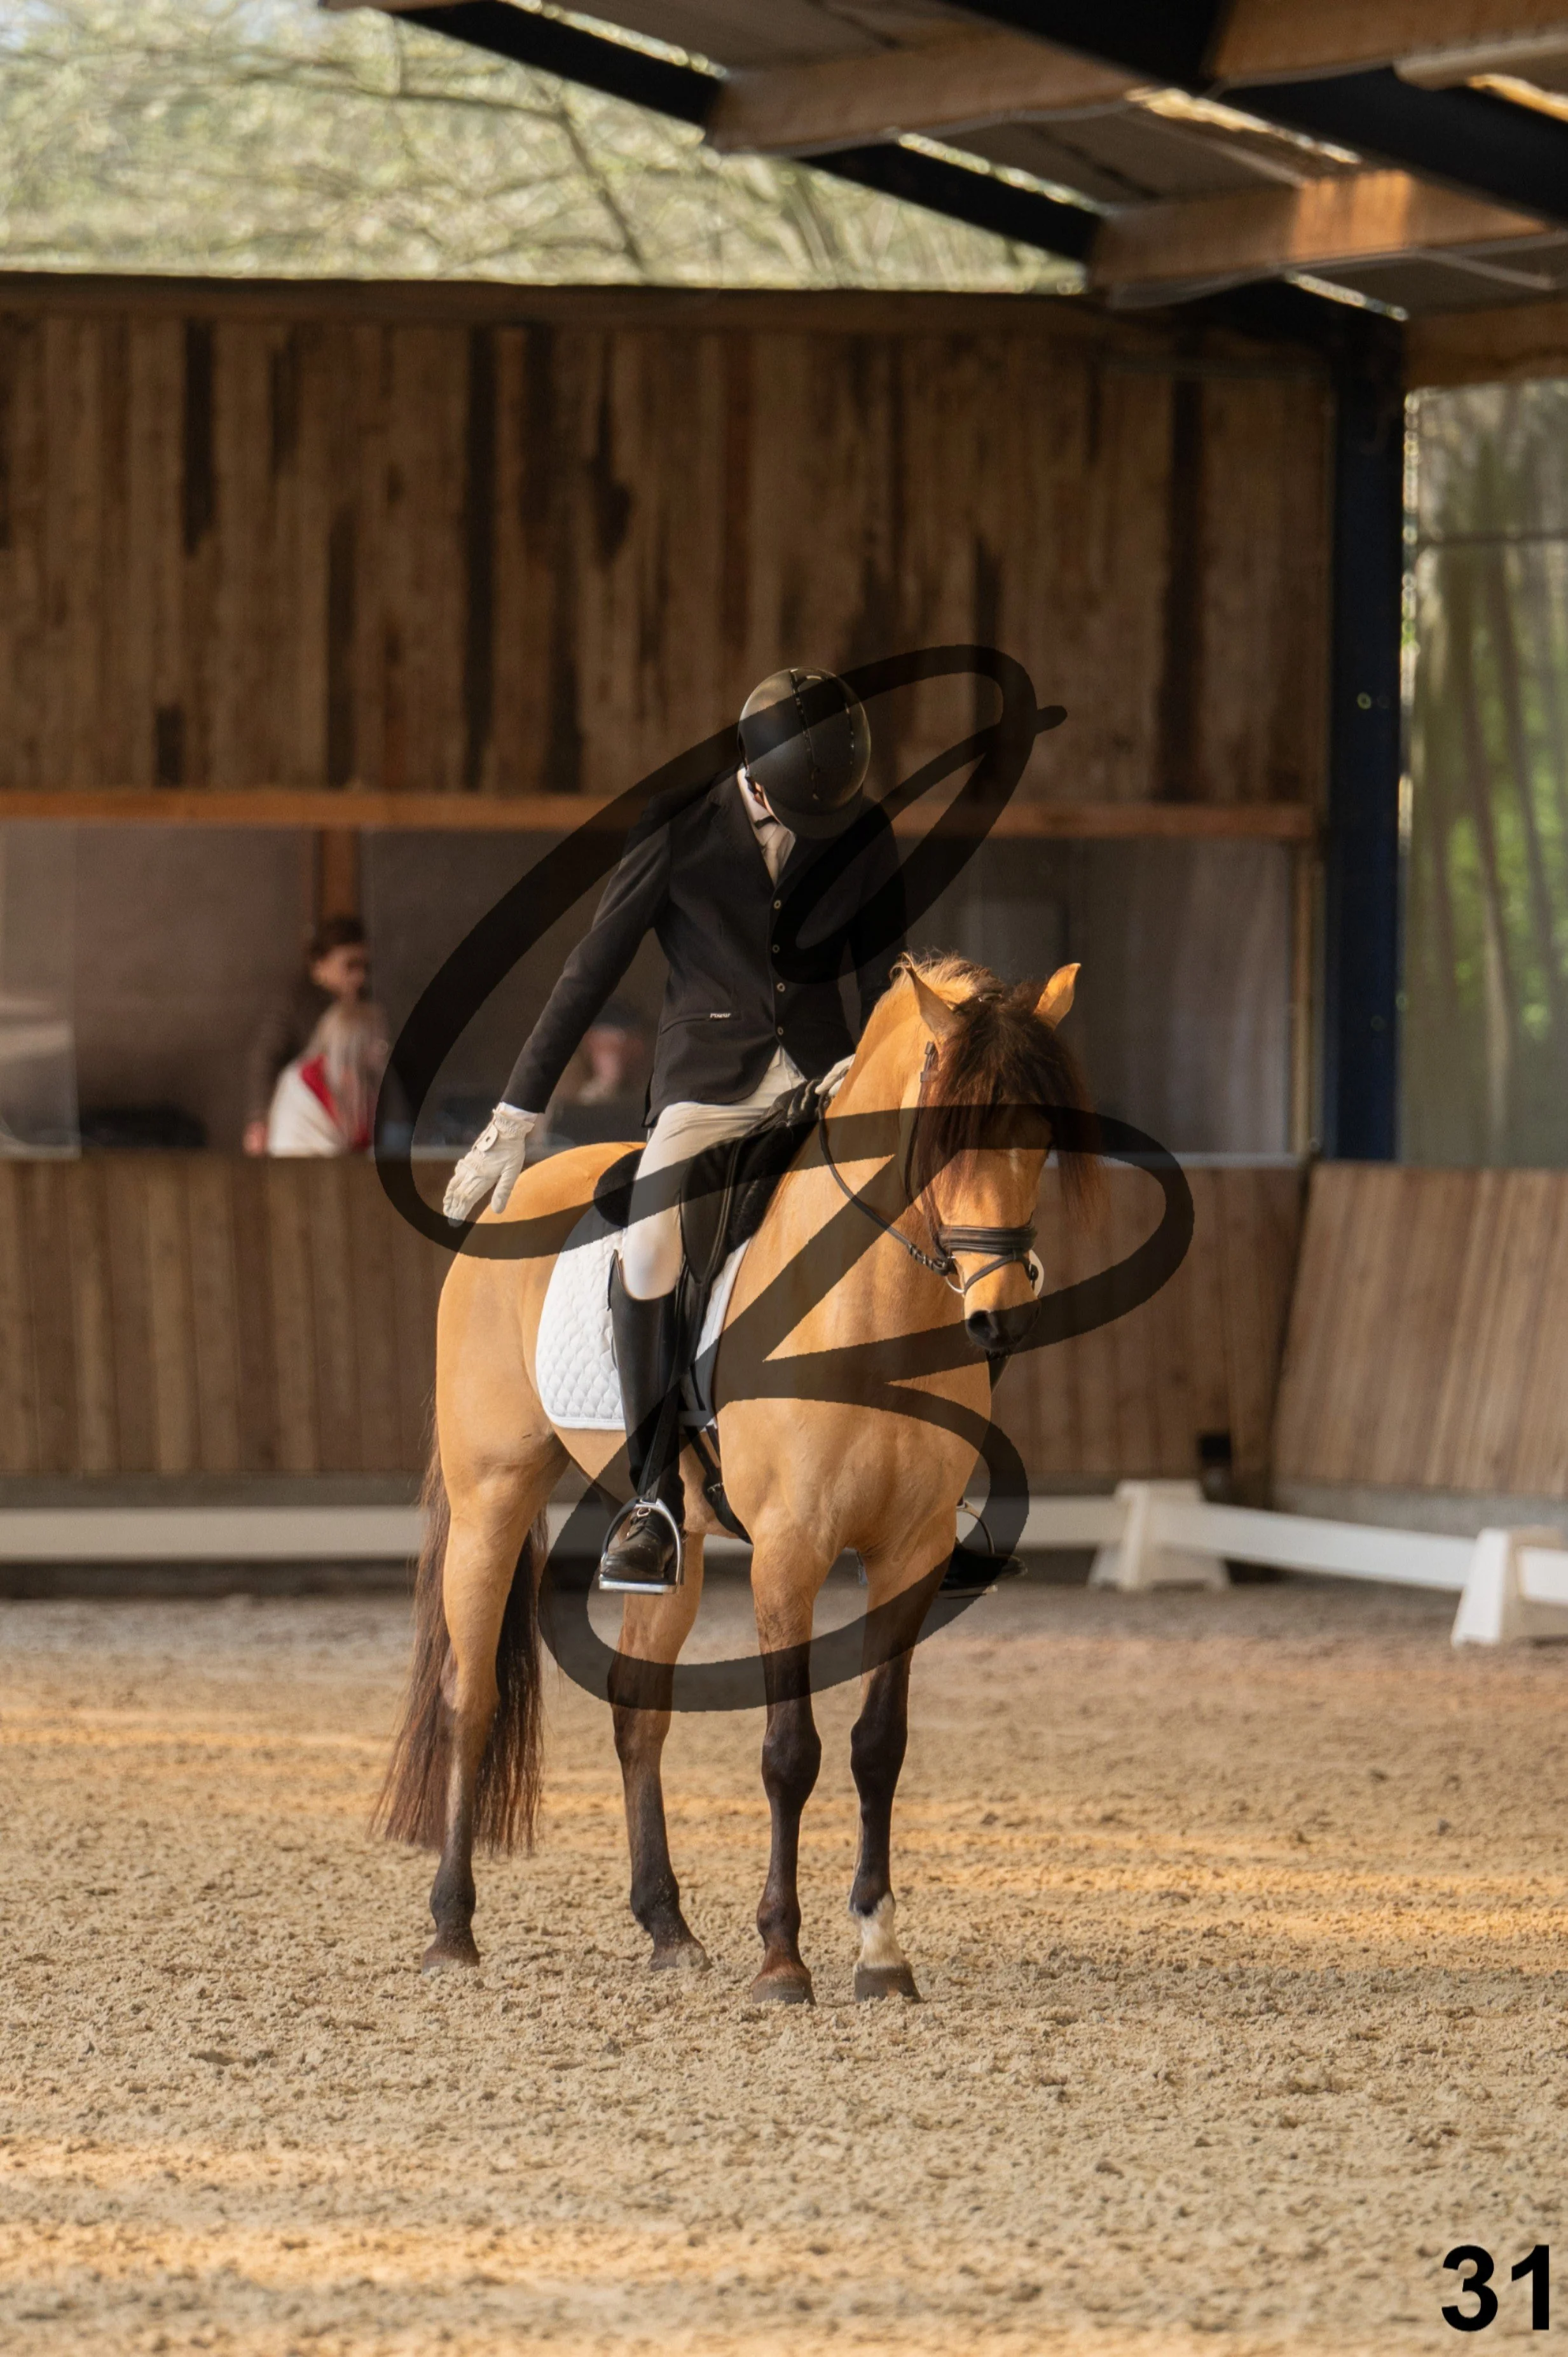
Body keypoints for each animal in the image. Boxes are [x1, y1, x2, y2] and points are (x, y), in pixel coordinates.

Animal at [376, 950, 1098, 2005]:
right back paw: (450, 1929)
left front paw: (880, 1950)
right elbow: (788, 1751)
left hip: (669, 1541)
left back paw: (667, 1927)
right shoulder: (790, 1550)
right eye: (943, 1132)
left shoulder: (910, 1553)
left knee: (637, 1714)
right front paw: (782, 1958)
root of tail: (521, 1195)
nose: (999, 1314)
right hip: (491, 1497)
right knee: (471, 1700)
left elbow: (877, 1747)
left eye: (1039, 1134)